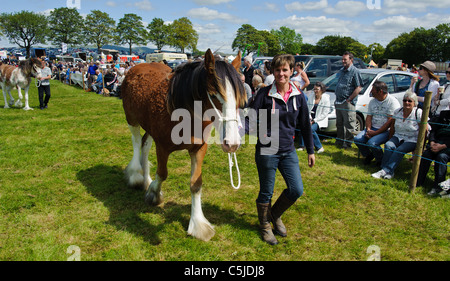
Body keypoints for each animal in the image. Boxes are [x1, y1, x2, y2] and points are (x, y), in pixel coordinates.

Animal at [121, 48, 244, 241]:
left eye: (239, 98)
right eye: (214, 94)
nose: (231, 143)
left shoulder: (199, 149)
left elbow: (196, 183)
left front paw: (198, 223)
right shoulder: (162, 147)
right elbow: (162, 174)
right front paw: (154, 194)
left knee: (145, 145)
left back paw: (146, 180)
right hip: (131, 119)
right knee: (136, 143)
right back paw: (136, 175)